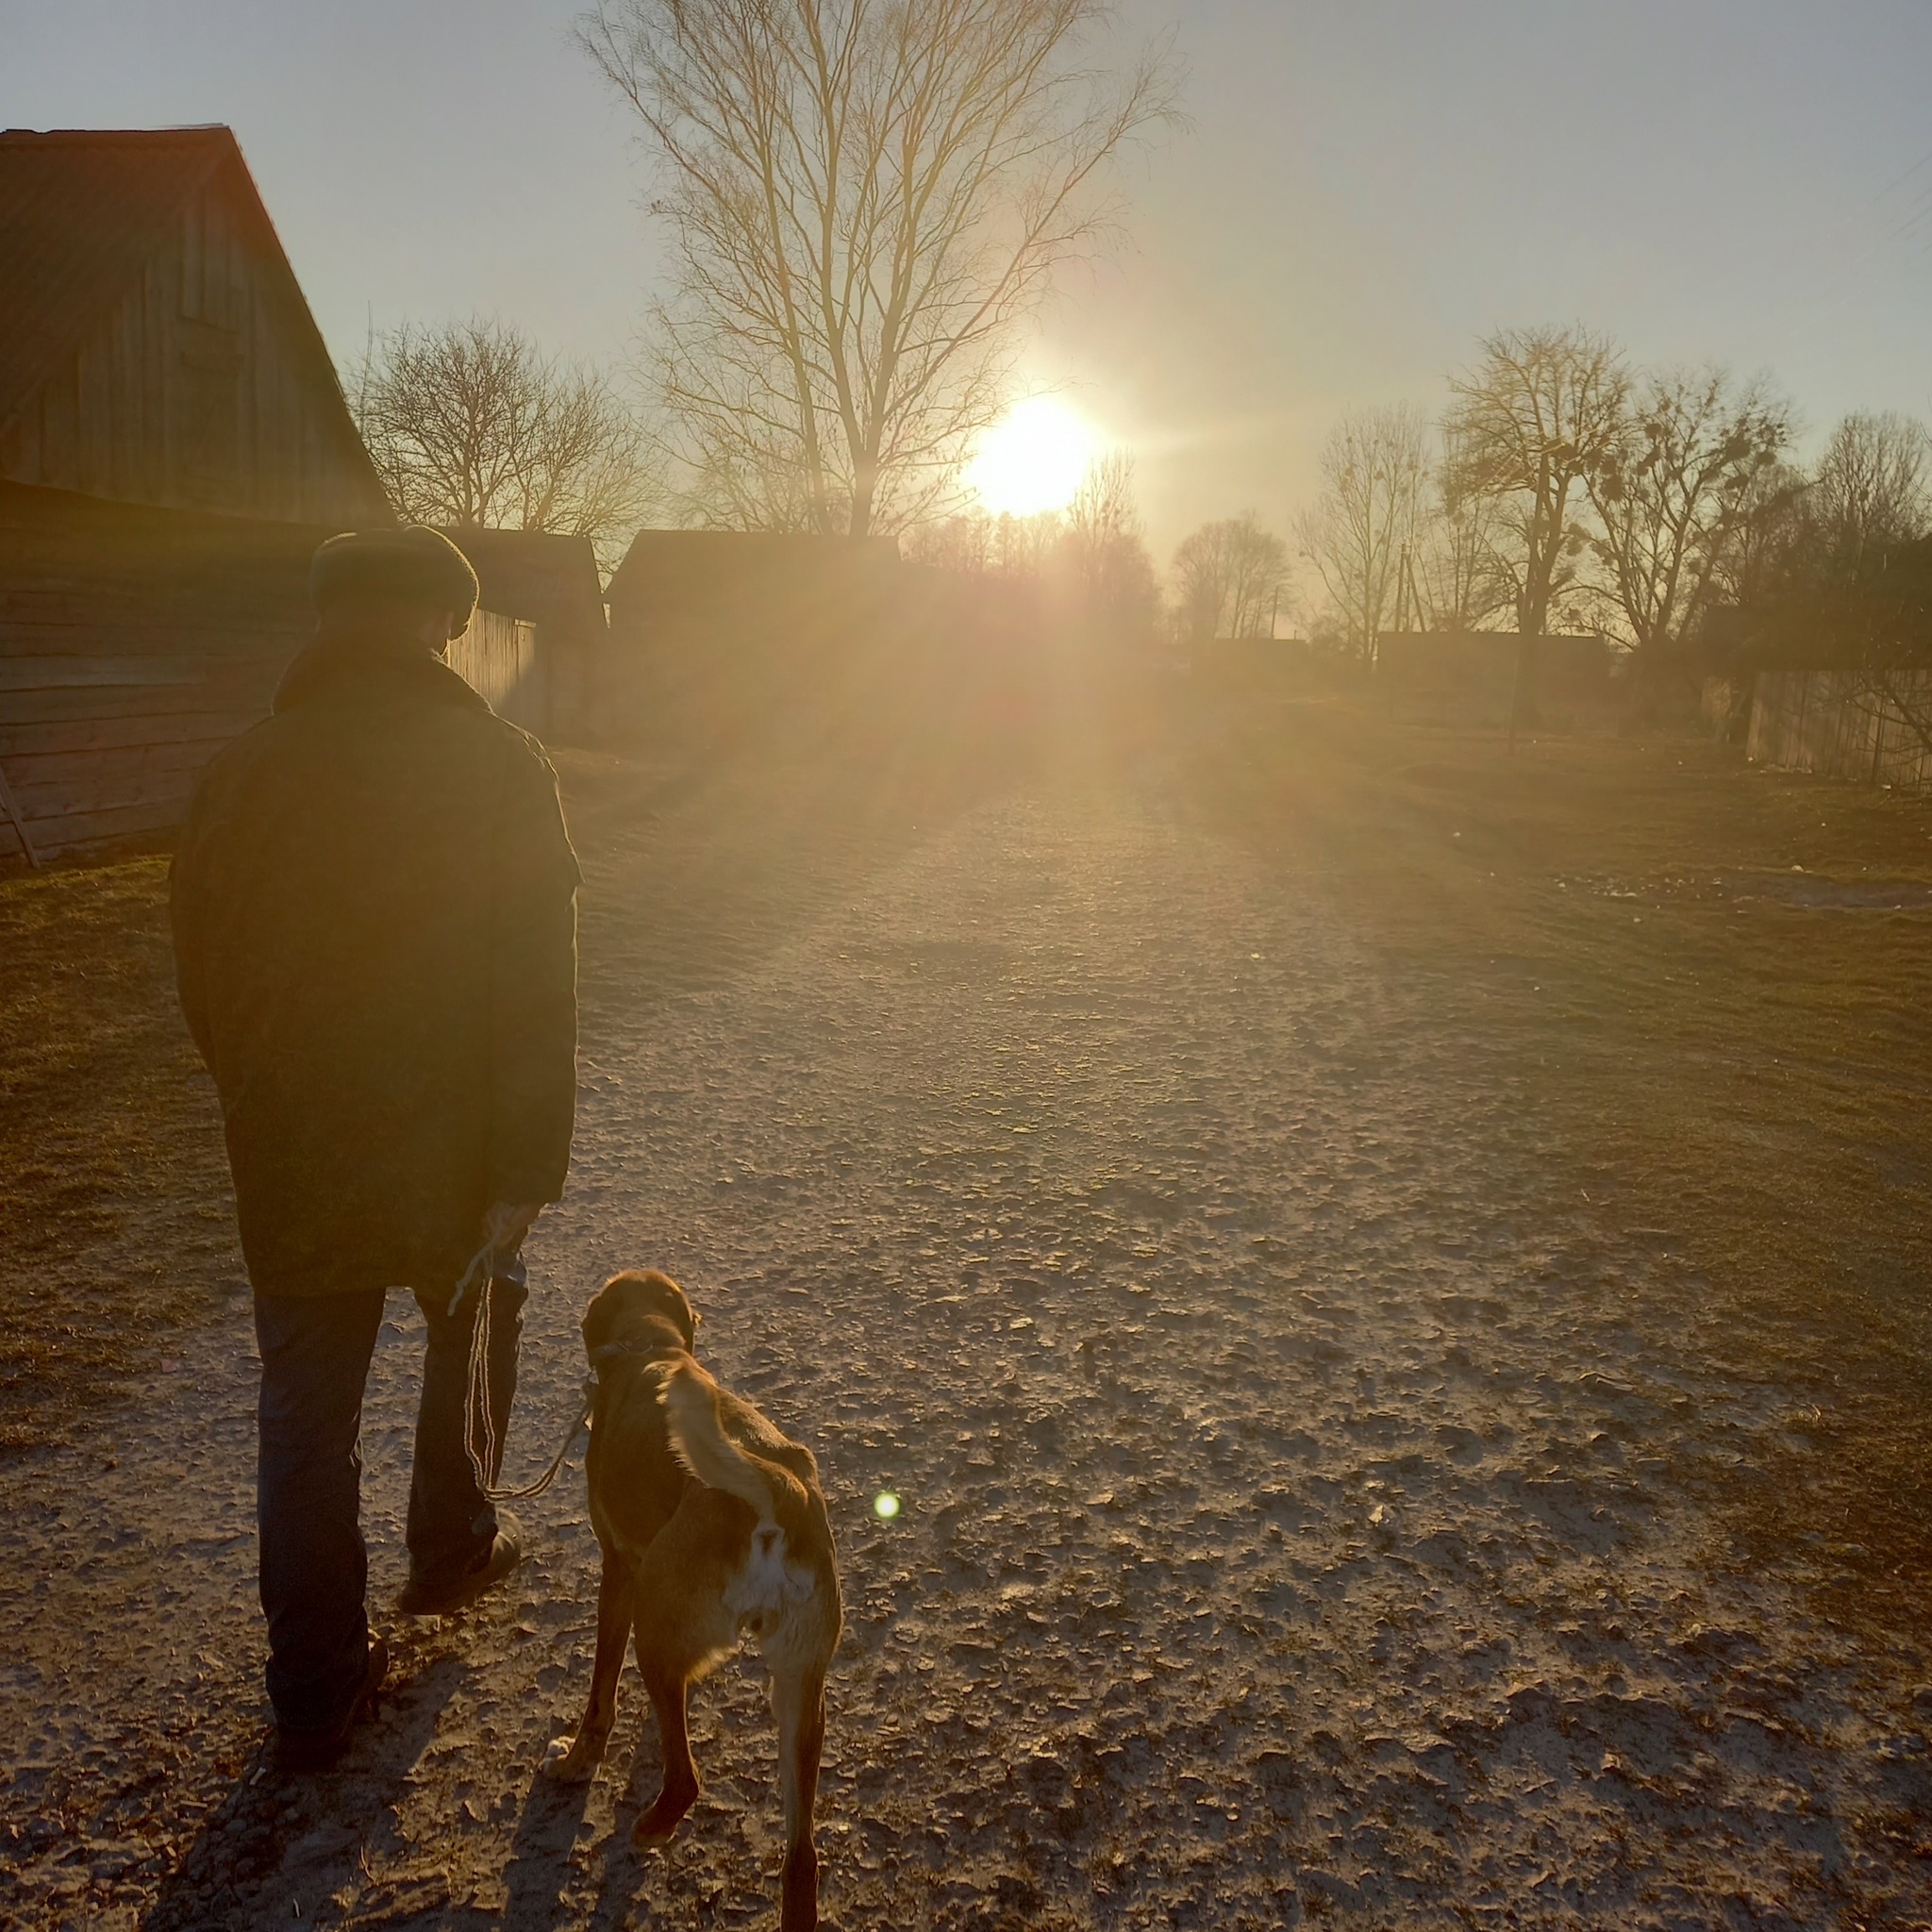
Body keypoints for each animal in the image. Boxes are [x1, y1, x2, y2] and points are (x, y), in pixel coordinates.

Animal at [548, 1267, 841, 1932]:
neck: (650, 1346)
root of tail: (778, 1492)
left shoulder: (619, 1574)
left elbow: (600, 1695)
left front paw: (578, 1759)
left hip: (653, 1628)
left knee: (686, 1781)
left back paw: (652, 1825)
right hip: (800, 1697)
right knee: (802, 1861)